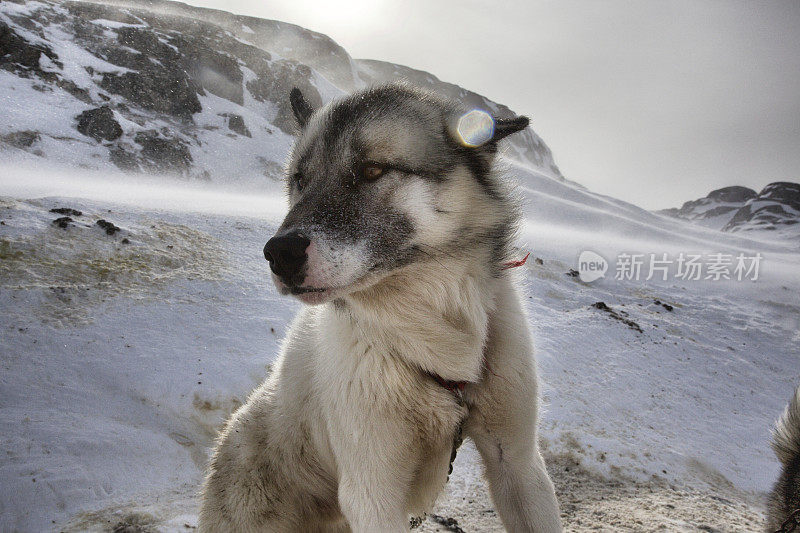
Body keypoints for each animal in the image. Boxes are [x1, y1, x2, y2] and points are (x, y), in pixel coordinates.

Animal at [198, 83, 564, 532]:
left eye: (372, 171)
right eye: (300, 179)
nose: (279, 254)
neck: (430, 329)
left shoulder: (517, 463)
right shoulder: (372, 493)